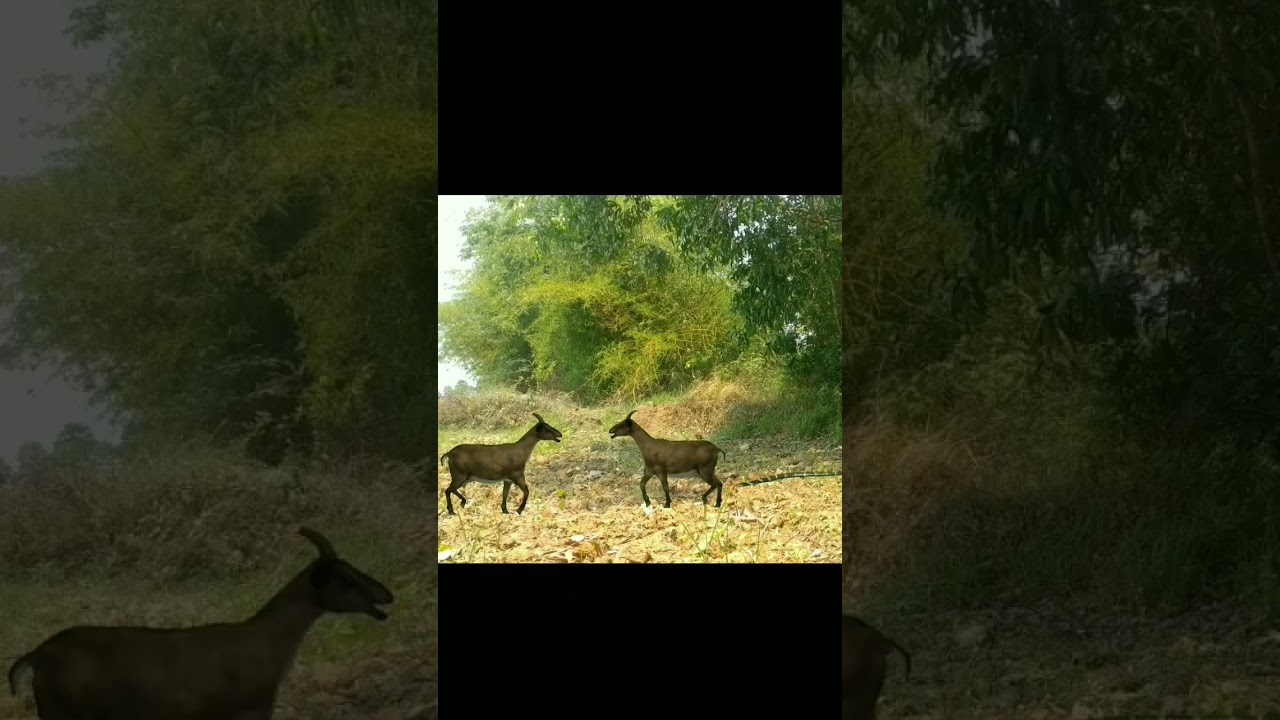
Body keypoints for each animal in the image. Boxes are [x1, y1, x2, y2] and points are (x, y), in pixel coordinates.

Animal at [6, 527, 392, 720]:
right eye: (346, 579)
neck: (266, 639)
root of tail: (36, 656)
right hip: (62, 712)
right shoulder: (252, 706)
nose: (387, 595)